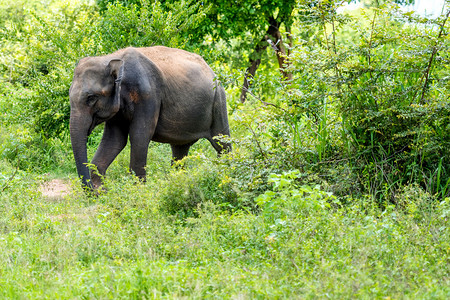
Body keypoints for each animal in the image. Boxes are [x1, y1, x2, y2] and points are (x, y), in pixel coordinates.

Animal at [70, 45, 232, 189]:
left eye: (91, 98)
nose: (93, 188)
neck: (110, 58)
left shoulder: (148, 95)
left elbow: (139, 136)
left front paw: (137, 191)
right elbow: (114, 140)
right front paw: (101, 191)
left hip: (218, 100)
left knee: (222, 143)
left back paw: (225, 172)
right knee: (179, 150)